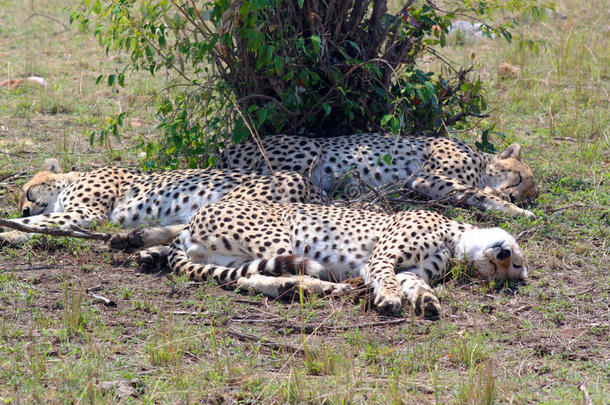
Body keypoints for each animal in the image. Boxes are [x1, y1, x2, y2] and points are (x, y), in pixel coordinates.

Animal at [0, 159, 320, 246]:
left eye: (28, 192)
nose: (25, 206)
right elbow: (37, 222)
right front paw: (15, 228)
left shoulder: (86, 211)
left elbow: (40, 222)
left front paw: (10, 232)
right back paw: (137, 239)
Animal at [164, 200, 524, 318]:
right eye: (511, 264)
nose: (503, 253)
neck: (456, 240)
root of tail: (190, 221)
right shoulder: (380, 259)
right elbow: (387, 278)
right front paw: (390, 298)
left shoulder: (410, 270)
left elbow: (413, 283)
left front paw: (426, 301)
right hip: (278, 236)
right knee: (264, 272)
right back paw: (325, 288)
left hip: (234, 259)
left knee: (247, 278)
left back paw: (314, 289)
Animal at [217, 133, 536, 218]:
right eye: (520, 179)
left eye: (529, 194)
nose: (514, 196)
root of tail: (226, 147)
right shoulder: (424, 177)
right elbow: (477, 193)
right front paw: (516, 210)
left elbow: (476, 195)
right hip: (310, 150)